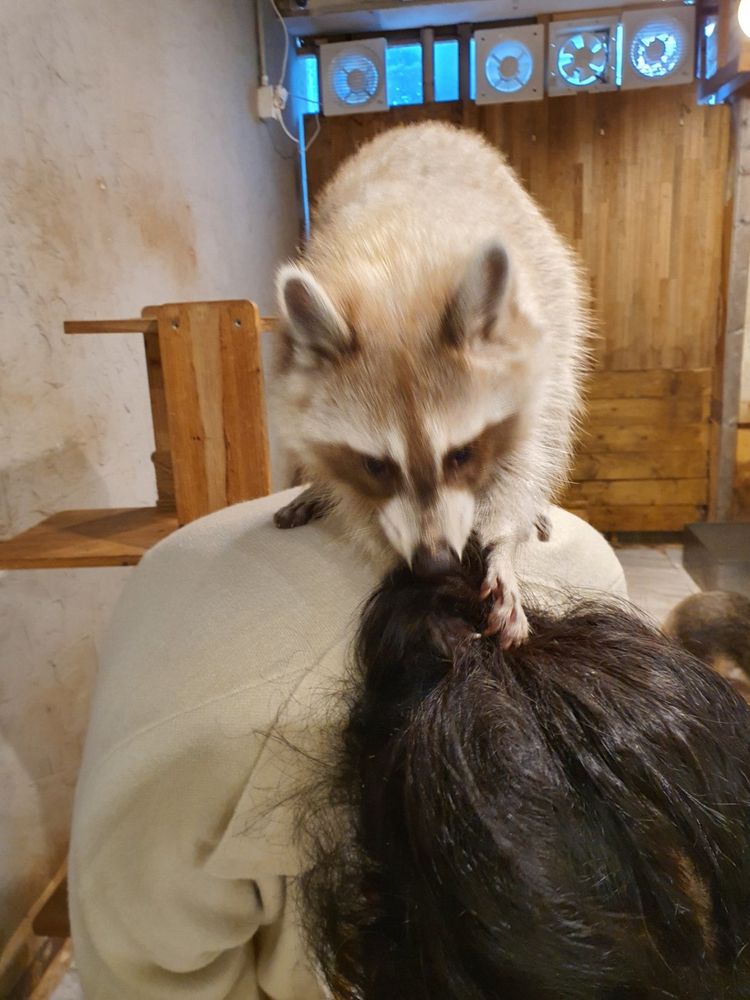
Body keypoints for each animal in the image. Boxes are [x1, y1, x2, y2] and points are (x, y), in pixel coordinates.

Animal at [272, 122, 588, 646]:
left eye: (461, 454)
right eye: (376, 466)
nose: (434, 562)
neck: (397, 277)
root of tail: (422, 126)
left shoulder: (531, 357)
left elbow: (525, 459)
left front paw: (504, 544)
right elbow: (353, 496)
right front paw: (401, 571)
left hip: (560, 298)